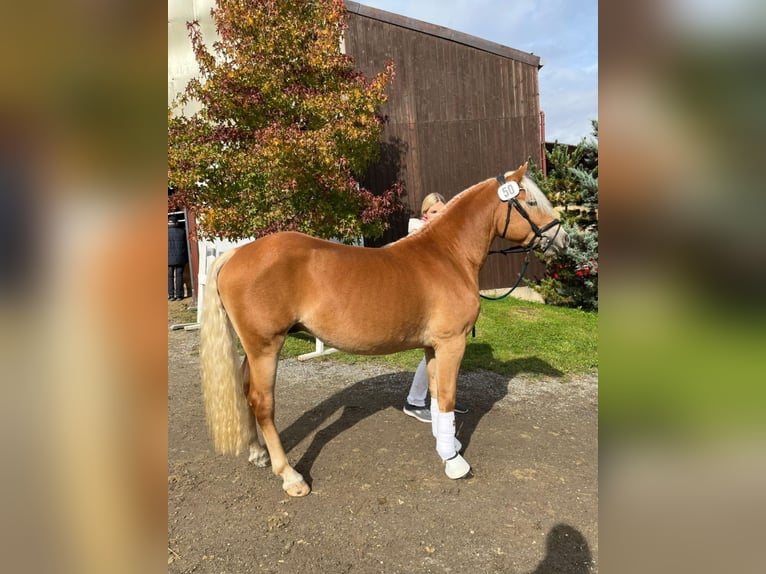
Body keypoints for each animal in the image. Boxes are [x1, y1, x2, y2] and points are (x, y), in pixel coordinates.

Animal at [201, 164, 568, 498]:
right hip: (266, 346)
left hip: (251, 348)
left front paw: (445, 443)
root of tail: (236, 253)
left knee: (244, 389)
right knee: (262, 402)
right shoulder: (452, 343)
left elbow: (436, 395)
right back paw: (290, 476)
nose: (562, 239)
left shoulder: (433, 346)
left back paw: (258, 453)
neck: (447, 256)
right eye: (531, 202)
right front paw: (454, 461)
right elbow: (448, 396)